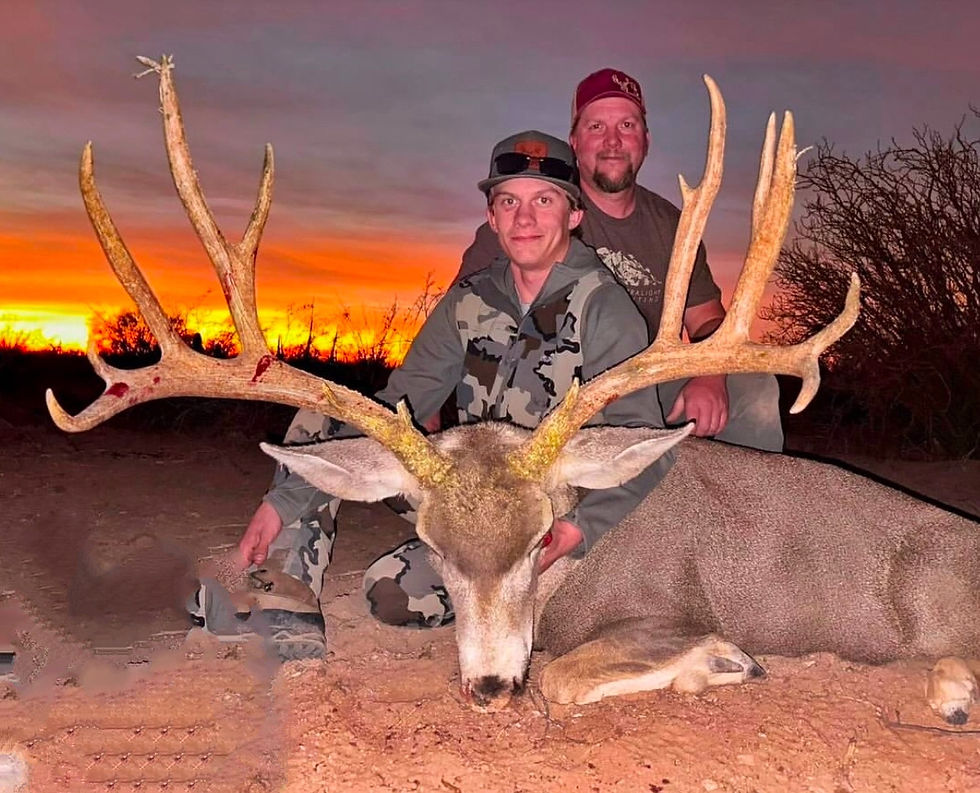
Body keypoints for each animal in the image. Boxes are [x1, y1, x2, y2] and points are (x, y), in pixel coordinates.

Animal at [47, 56, 980, 725]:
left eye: (542, 539)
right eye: (436, 545)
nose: (491, 686)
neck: (574, 577)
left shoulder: (662, 610)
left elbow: (566, 676)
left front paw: (723, 660)